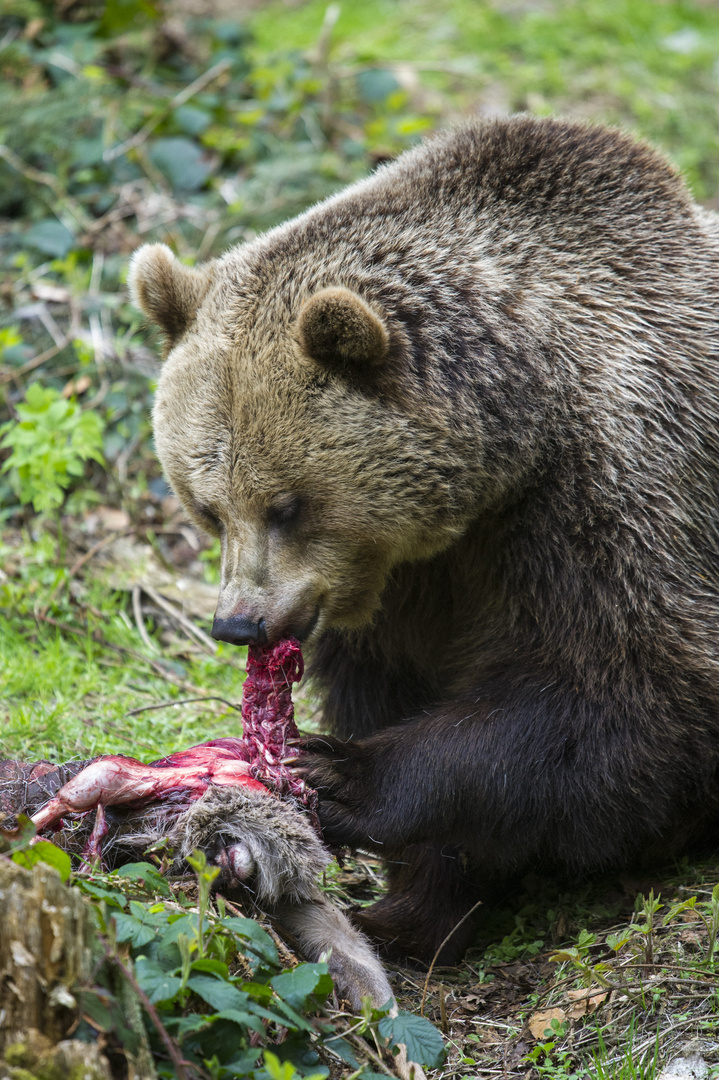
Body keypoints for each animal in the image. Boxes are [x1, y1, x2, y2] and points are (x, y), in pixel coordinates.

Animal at [130, 116, 719, 963]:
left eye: (288, 505)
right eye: (207, 508)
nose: (239, 622)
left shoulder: (606, 489)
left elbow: (627, 691)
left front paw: (339, 774)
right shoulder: (404, 580)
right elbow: (390, 677)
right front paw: (414, 900)